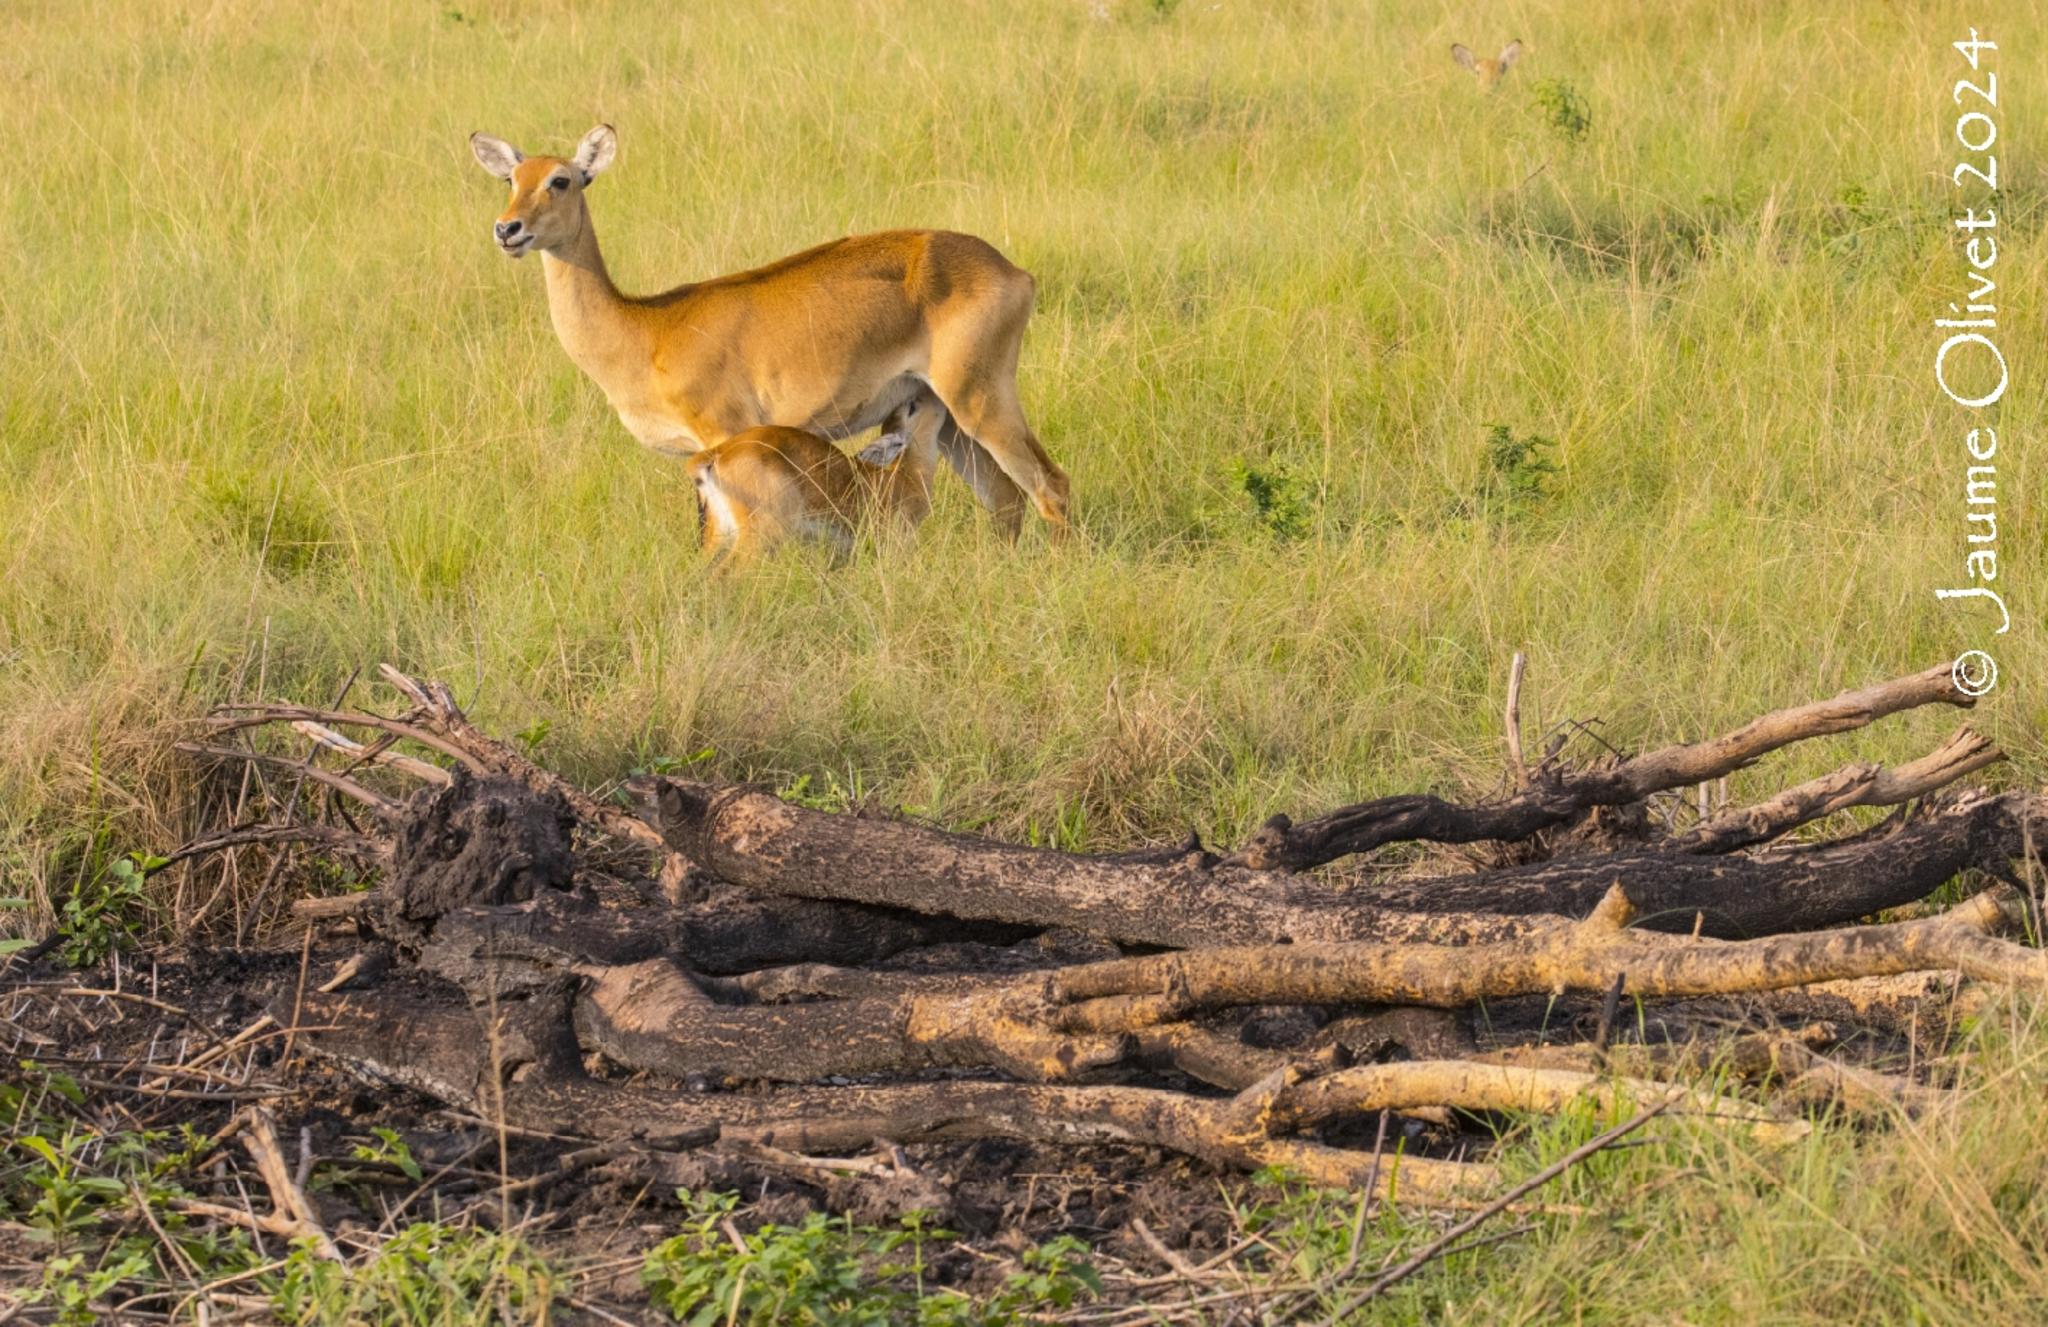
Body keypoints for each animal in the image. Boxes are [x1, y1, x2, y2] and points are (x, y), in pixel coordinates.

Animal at [466, 124, 1073, 540]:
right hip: (945, 417)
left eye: (561, 179)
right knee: (1006, 499)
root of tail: (1012, 271)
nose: (507, 229)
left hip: (981, 399)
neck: (647, 329)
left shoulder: (722, 434)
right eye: (510, 178)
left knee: (1051, 486)